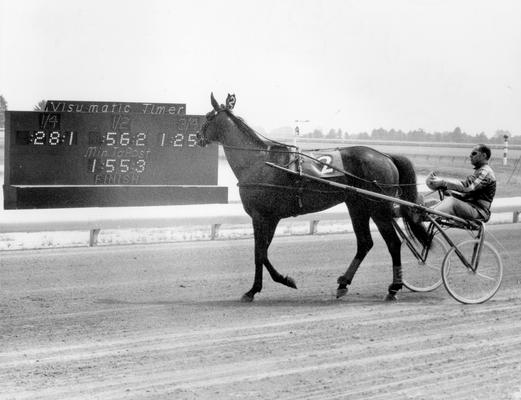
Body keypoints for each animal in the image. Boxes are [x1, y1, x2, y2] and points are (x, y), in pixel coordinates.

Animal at [197, 93, 428, 300]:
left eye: (208, 116)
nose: (198, 137)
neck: (259, 162)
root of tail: (386, 156)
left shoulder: (261, 215)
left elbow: (260, 253)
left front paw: (262, 287)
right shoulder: (269, 217)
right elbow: (262, 252)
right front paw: (273, 283)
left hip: (378, 208)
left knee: (393, 243)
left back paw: (394, 288)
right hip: (357, 206)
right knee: (364, 243)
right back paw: (344, 284)